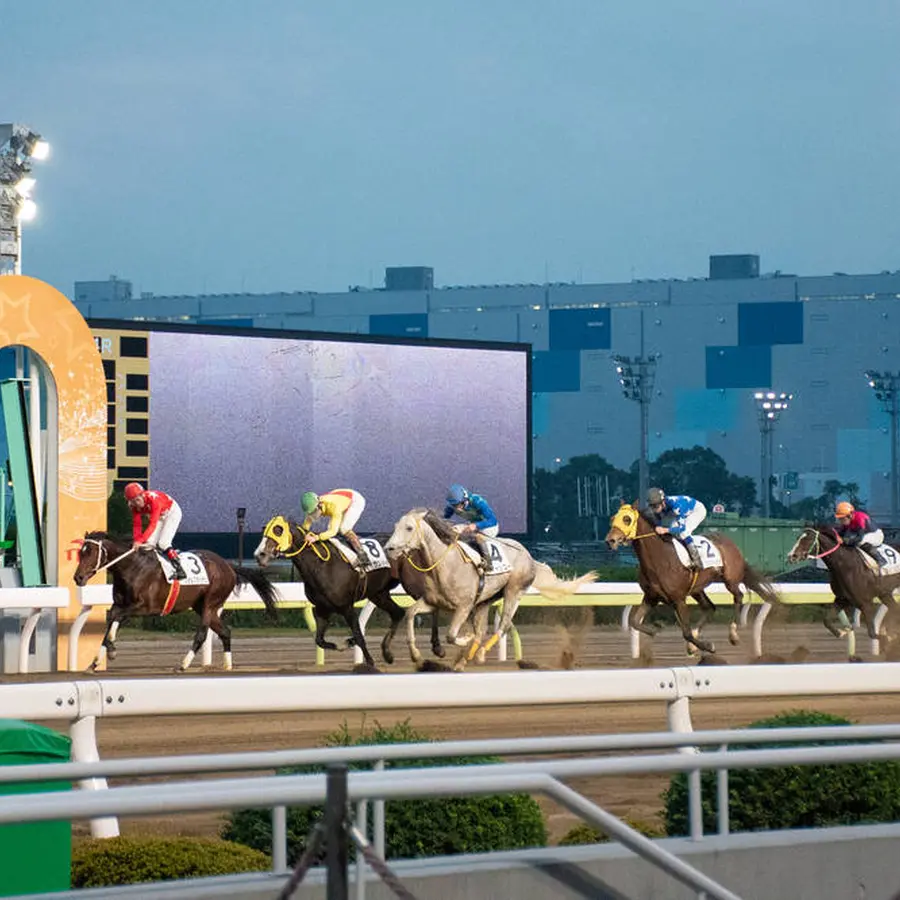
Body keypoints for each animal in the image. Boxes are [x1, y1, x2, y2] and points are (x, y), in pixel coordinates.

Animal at [72, 532, 280, 672]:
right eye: (81, 553)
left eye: (90, 552)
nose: (78, 577)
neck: (132, 566)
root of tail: (228, 566)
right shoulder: (120, 604)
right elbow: (112, 620)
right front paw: (97, 660)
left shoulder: (144, 607)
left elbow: (115, 618)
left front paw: (111, 650)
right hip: (203, 606)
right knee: (225, 632)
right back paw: (227, 666)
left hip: (210, 603)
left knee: (202, 634)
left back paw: (183, 664)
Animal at [253, 512, 442, 668]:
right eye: (265, 531)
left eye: (278, 530)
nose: (259, 554)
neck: (321, 566)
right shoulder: (322, 609)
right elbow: (320, 640)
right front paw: (345, 644)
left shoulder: (346, 606)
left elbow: (358, 634)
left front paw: (369, 662)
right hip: (378, 594)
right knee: (397, 613)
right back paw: (387, 653)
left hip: (412, 584)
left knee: (433, 606)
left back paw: (437, 647)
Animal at [382, 506, 596, 668]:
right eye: (396, 526)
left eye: (409, 528)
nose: (388, 549)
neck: (444, 565)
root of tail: (528, 556)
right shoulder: (433, 602)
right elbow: (411, 613)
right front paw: (416, 655)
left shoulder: (464, 606)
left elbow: (451, 635)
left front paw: (464, 638)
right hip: (485, 600)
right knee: (483, 629)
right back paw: (465, 658)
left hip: (513, 591)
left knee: (502, 626)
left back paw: (479, 654)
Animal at [604, 500, 780, 652]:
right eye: (613, 518)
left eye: (627, 519)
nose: (610, 540)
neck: (660, 559)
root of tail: (730, 542)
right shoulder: (651, 597)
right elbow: (634, 621)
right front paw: (655, 629)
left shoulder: (678, 599)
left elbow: (686, 633)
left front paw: (707, 646)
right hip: (697, 589)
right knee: (709, 607)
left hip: (730, 579)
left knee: (738, 596)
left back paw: (733, 635)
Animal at [784, 520, 896, 652]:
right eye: (798, 538)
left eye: (808, 539)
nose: (791, 556)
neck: (845, 565)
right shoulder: (843, 599)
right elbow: (826, 621)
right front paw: (842, 632)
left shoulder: (865, 603)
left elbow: (872, 633)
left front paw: (889, 639)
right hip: (885, 593)